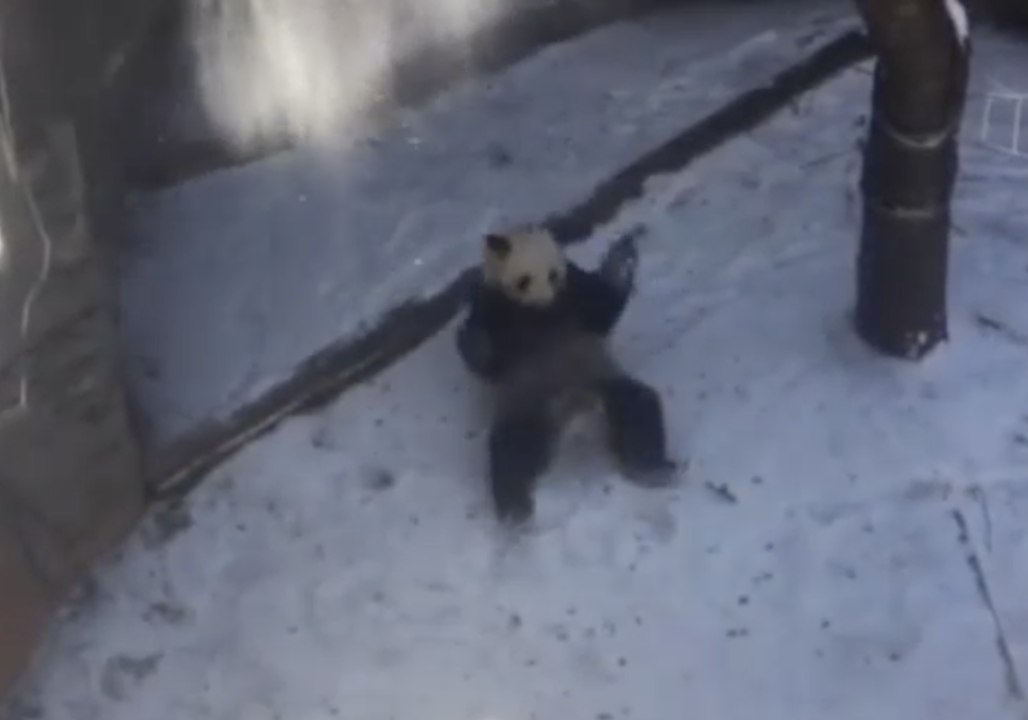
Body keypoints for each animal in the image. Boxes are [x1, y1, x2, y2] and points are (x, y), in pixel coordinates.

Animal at [456, 225, 676, 522]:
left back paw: (651, 468)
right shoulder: (493, 306)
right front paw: (473, 342)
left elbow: (603, 307)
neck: (538, 316)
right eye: (524, 280)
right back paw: (515, 511)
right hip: (526, 403)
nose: (544, 301)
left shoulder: (574, 291)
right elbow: (485, 361)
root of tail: (573, 407)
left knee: (636, 408)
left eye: (553, 275)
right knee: (511, 448)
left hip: (599, 379)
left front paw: (622, 259)